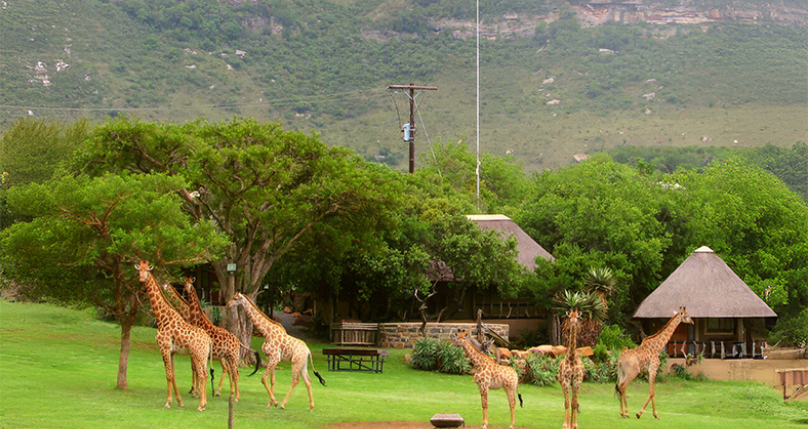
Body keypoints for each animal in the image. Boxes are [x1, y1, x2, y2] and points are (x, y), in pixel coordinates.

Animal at [136, 261, 212, 411]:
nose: (141, 278)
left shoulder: (163, 347)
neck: (161, 319)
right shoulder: (171, 351)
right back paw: (204, 404)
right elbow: (173, 374)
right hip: (203, 356)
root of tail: (208, 340)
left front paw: (167, 403)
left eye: (147, 270)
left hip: (197, 354)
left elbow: (168, 374)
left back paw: (200, 405)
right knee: (205, 374)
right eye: (139, 270)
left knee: (202, 374)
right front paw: (179, 401)